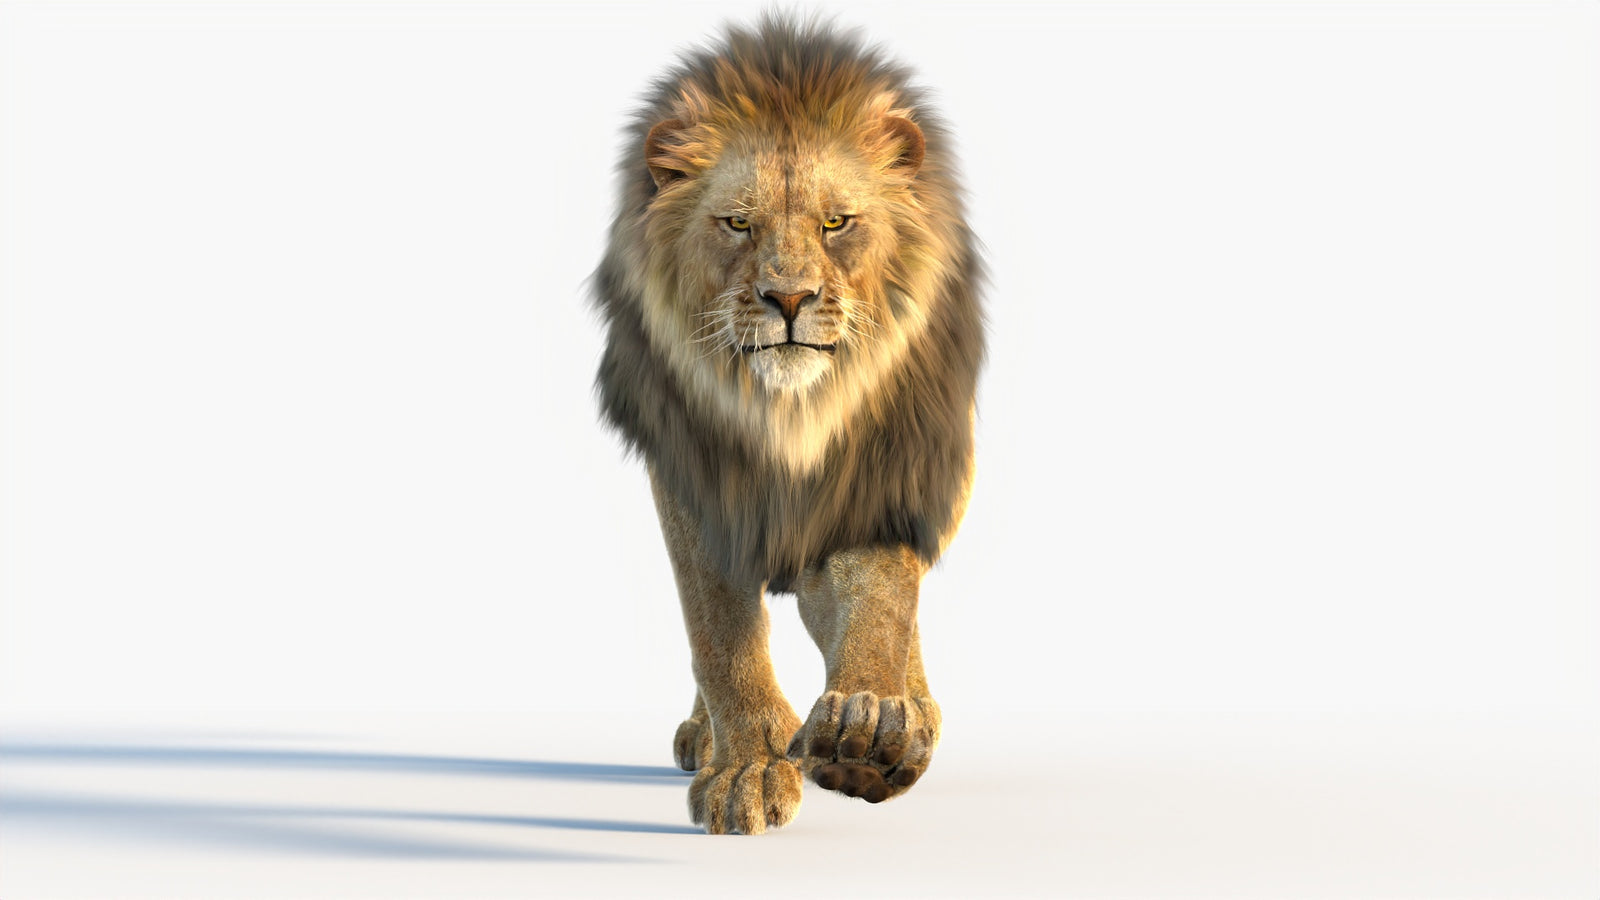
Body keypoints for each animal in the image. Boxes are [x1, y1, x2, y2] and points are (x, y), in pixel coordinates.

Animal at [591, 16, 984, 835]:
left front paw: (870, 726)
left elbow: (883, 595)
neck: (788, 415)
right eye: (739, 224)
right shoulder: (694, 477)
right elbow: (718, 629)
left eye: (836, 223)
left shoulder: (886, 466)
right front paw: (748, 762)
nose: (790, 298)